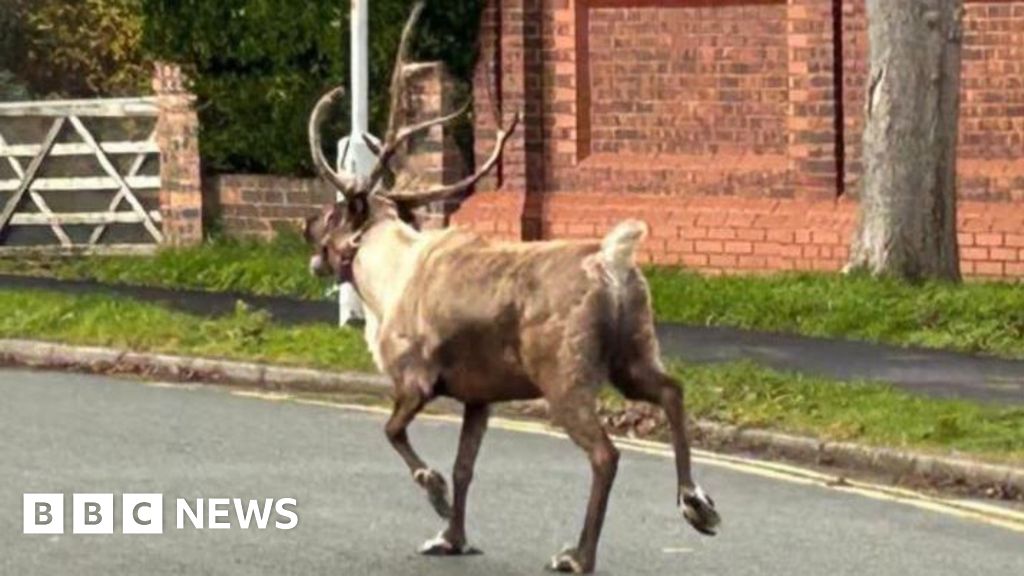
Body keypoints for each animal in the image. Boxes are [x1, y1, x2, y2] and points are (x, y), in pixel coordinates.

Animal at [303, 3, 719, 573]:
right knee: (673, 392)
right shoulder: (480, 395)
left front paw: (434, 494)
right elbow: (465, 467)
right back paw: (696, 504)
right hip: (632, 354)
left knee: (605, 453)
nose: (306, 231)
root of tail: (613, 261)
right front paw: (451, 536)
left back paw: (578, 554)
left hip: (565, 376)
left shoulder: (415, 379)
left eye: (333, 213)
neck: (383, 278)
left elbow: (394, 433)